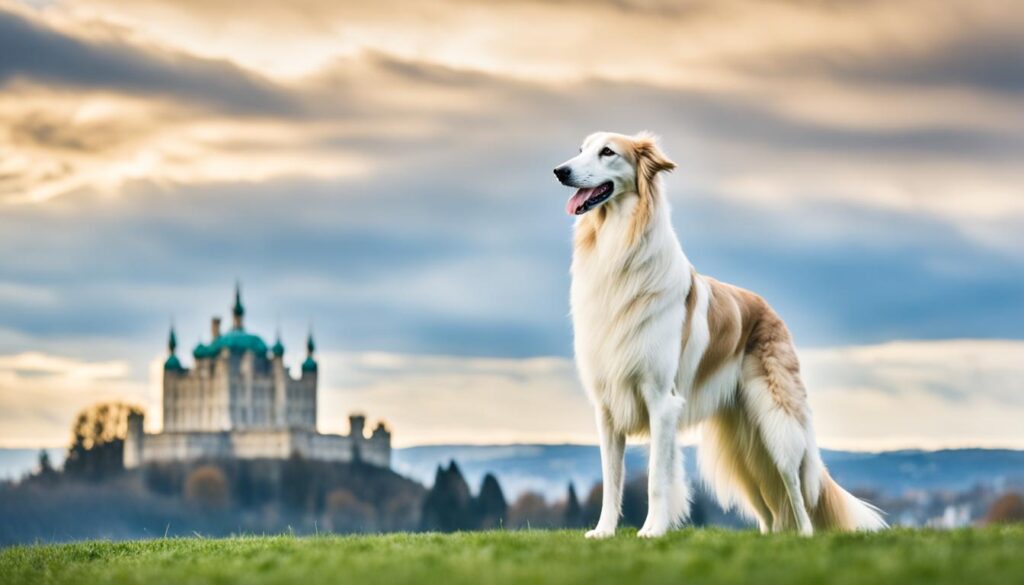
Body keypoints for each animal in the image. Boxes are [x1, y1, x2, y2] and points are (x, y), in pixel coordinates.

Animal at [557, 131, 884, 540]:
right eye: (580, 149)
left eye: (607, 152)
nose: (560, 171)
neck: (616, 247)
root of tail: (770, 309)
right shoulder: (606, 408)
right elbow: (611, 480)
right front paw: (602, 533)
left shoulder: (661, 401)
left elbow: (656, 479)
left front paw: (652, 531)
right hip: (742, 450)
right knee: (769, 510)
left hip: (778, 428)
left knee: (796, 490)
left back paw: (804, 537)